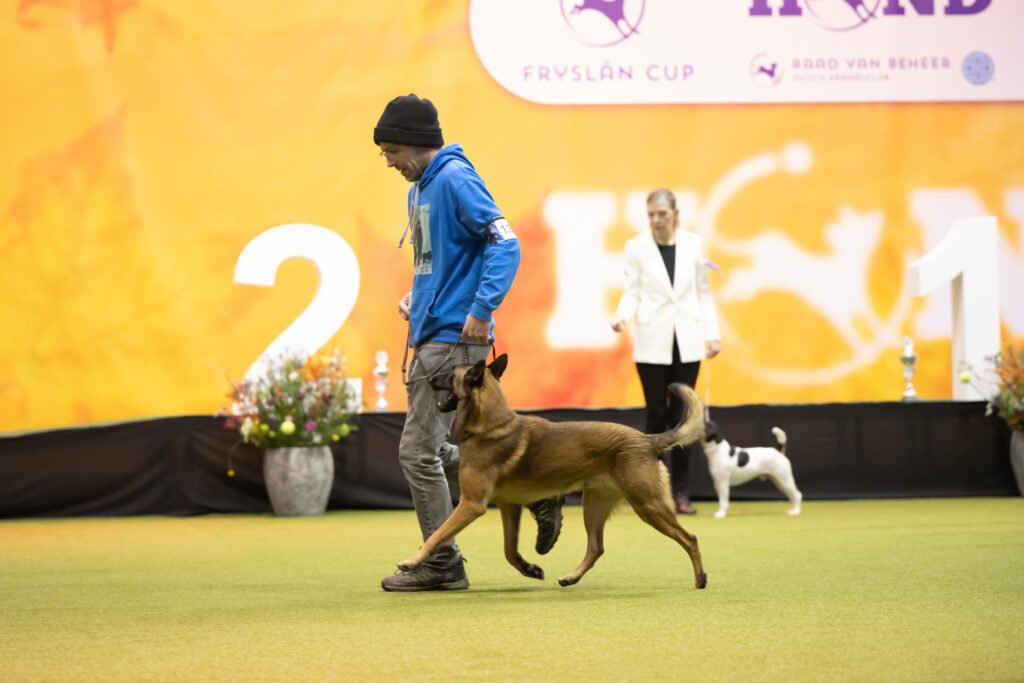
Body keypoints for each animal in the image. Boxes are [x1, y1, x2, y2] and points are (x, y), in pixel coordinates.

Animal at [397, 353, 709, 589]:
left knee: (690, 538)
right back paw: (571, 576)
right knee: (596, 547)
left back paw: (700, 578)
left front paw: (412, 561)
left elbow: (437, 534)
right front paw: (529, 568)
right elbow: (509, 551)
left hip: (648, 505)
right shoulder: (509, 507)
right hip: (593, 505)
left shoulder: (471, 505)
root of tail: (648, 440)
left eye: (450, 373)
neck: (489, 426)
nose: (425, 378)